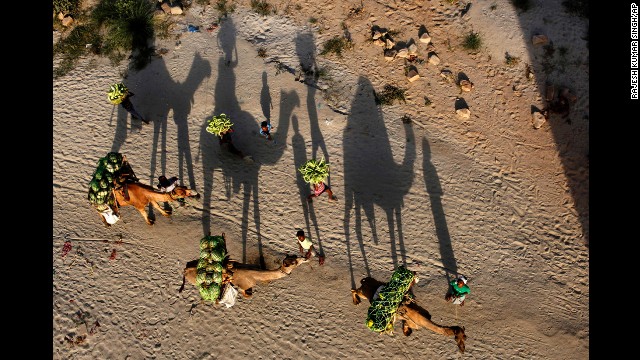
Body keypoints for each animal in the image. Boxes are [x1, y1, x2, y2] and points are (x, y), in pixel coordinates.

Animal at [180, 252, 310, 300]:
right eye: (294, 262)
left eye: (294, 257)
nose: (305, 258)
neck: (256, 275)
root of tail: (185, 270)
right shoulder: (244, 286)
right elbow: (247, 295)